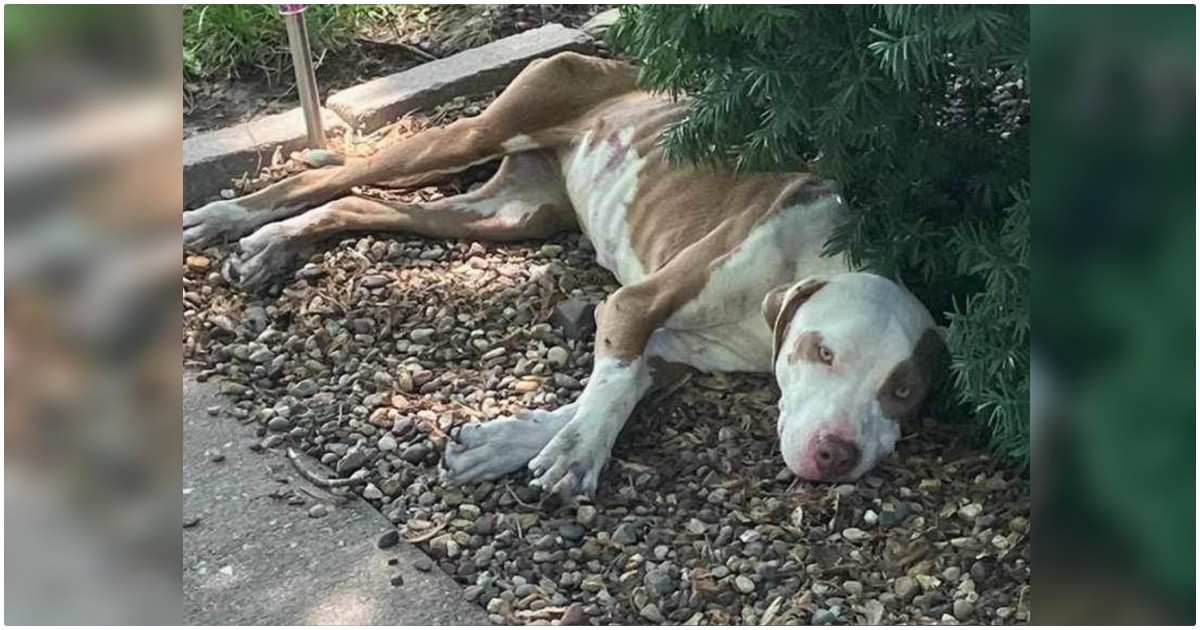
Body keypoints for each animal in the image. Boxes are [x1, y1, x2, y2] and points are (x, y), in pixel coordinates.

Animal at [184, 52, 945, 496]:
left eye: (902, 392)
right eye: (823, 352)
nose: (838, 453)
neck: (812, 258)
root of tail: (610, 56)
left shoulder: (673, 353)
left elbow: (606, 389)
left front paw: (502, 443)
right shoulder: (633, 307)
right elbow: (606, 389)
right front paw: (577, 453)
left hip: (507, 214)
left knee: (357, 201)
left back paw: (275, 244)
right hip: (478, 133)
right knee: (334, 177)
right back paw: (235, 222)